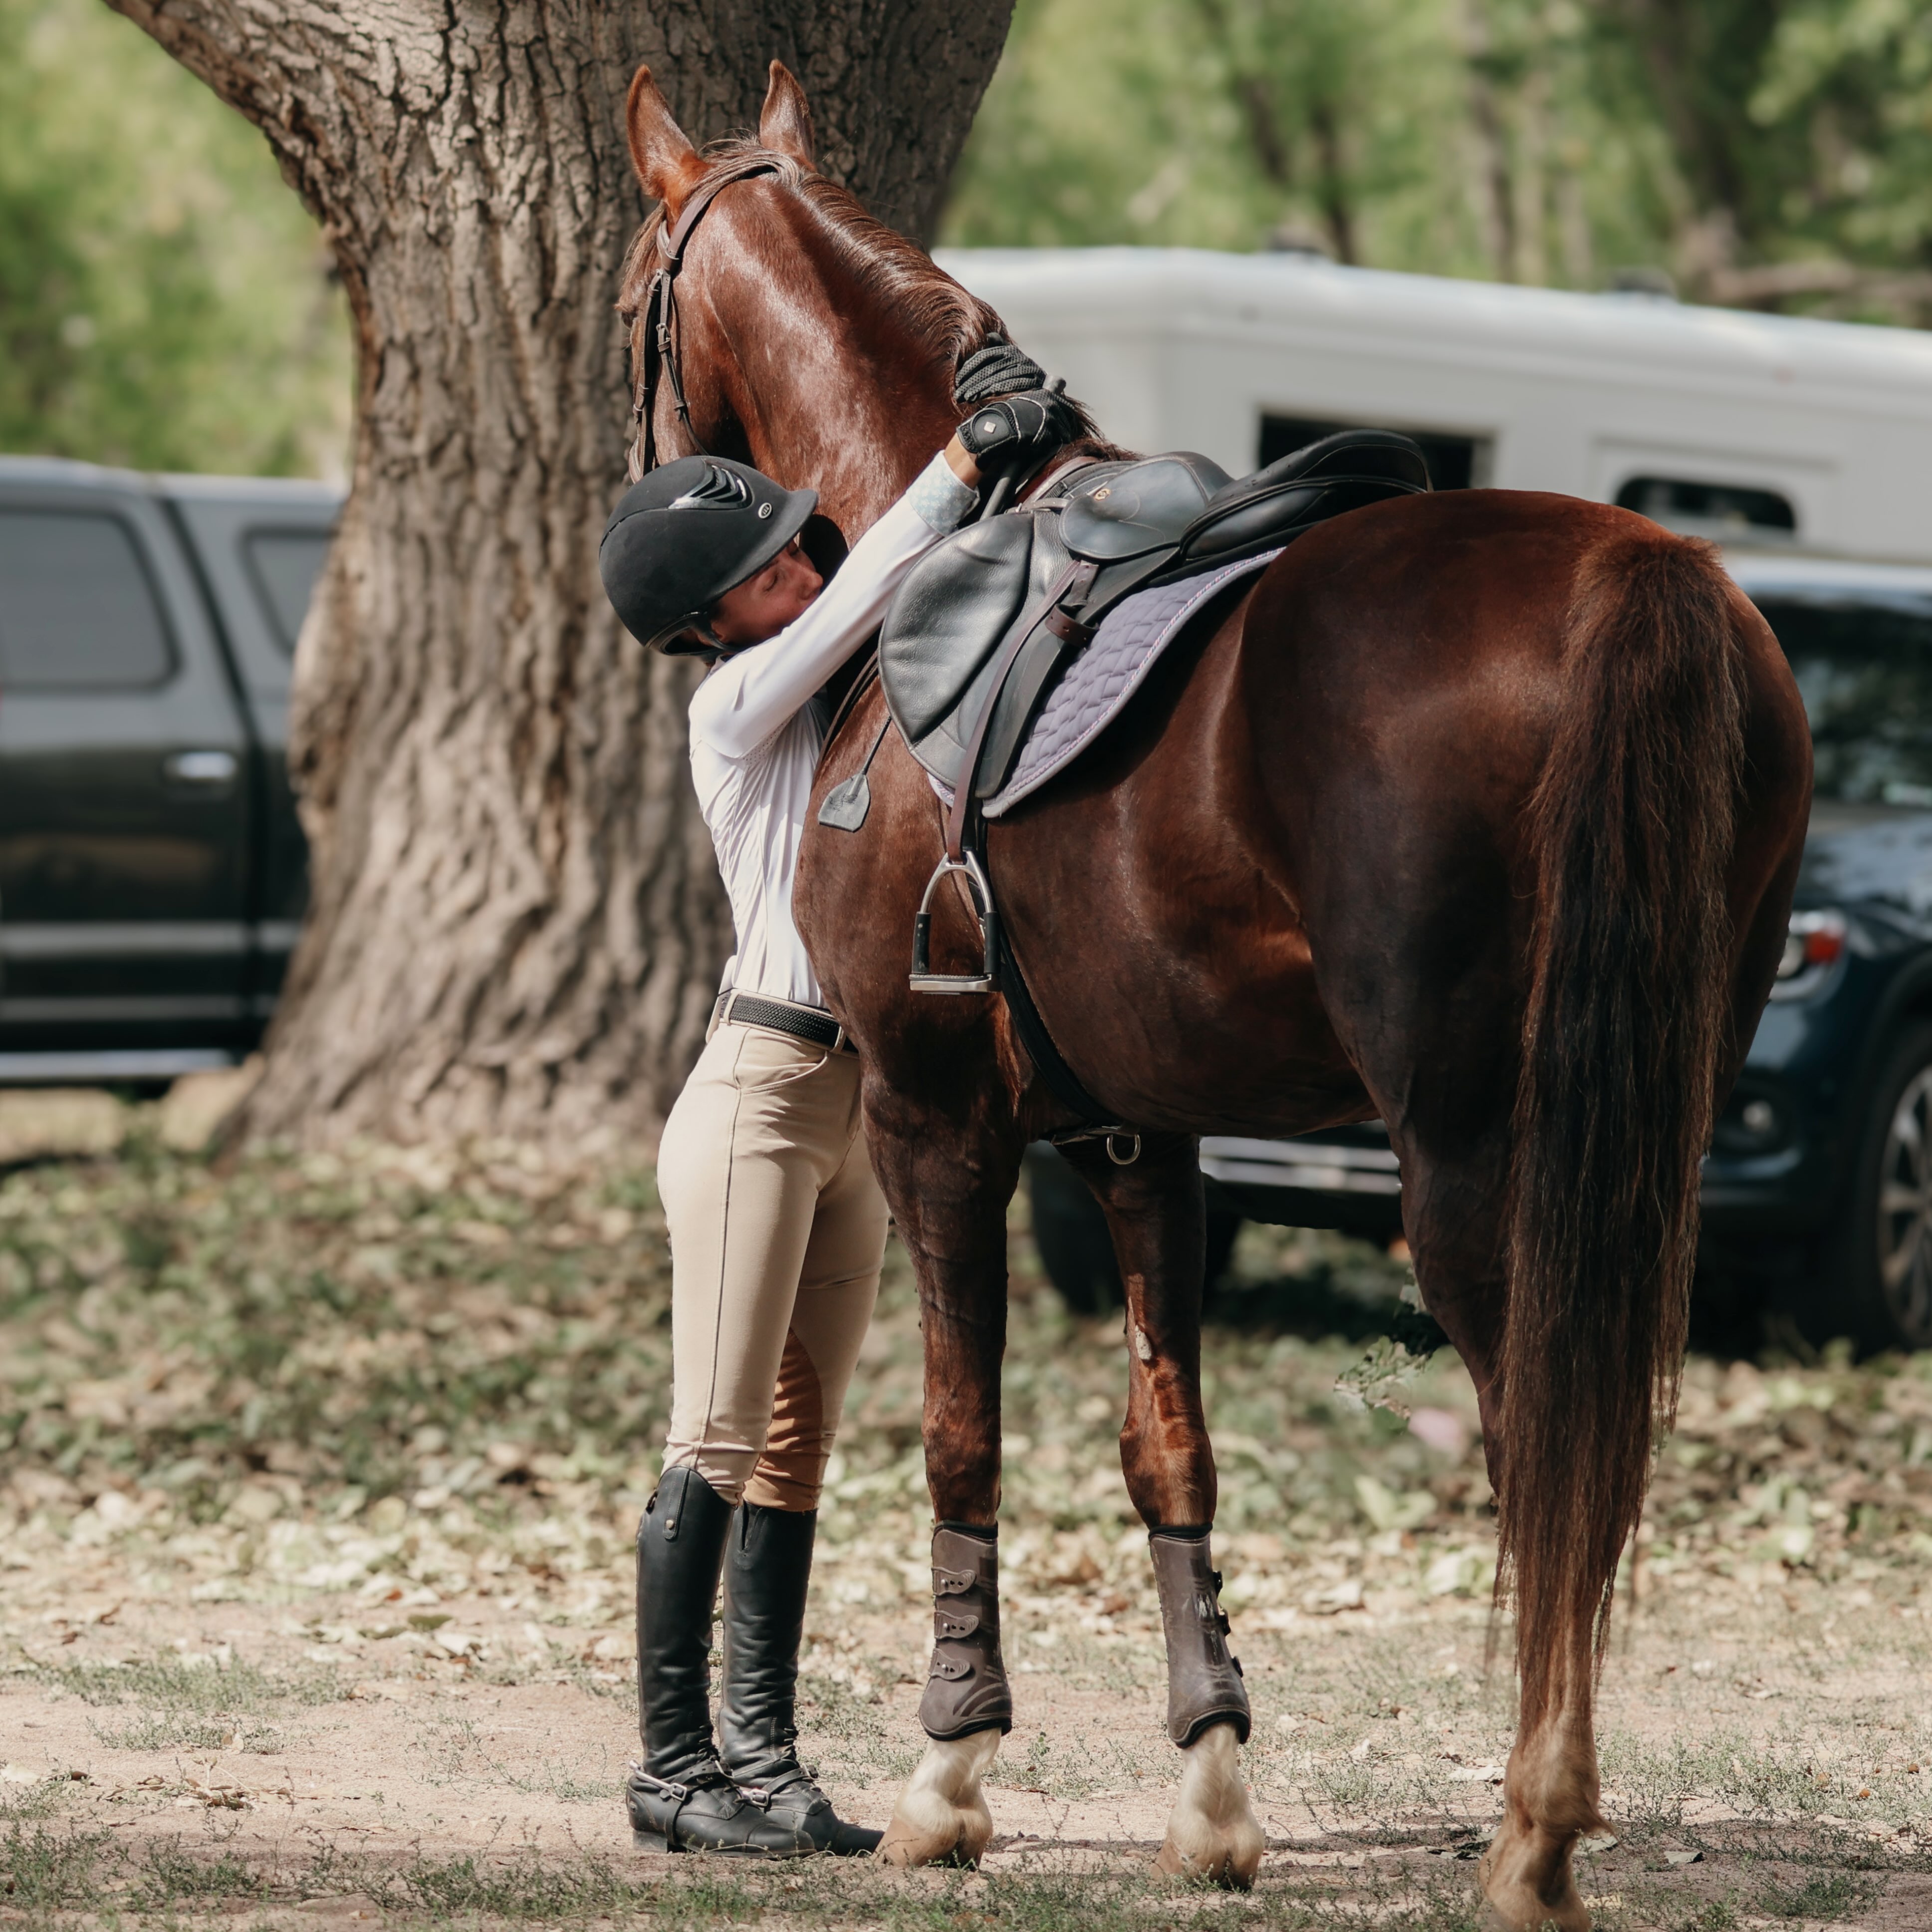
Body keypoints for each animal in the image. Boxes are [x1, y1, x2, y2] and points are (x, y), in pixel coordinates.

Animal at [616, 60, 1813, 1928]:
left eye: (628, 303)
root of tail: (1636, 568)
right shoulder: (1136, 1137)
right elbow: (1165, 1444)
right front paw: (1212, 1791)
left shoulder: (932, 1117)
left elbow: (962, 1436)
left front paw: (948, 1777)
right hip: (1644, 1147)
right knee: (1593, 1441)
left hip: (1471, 1166)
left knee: (1538, 1429)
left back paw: (1536, 1827)